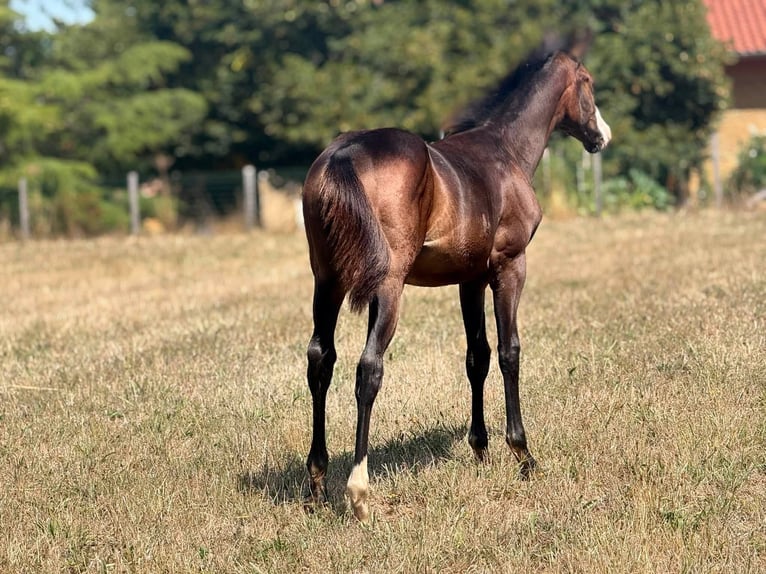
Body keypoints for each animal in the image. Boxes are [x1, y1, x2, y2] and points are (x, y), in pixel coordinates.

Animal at [301, 46, 611, 522]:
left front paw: (480, 449)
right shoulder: (509, 267)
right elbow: (508, 352)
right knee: (368, 367)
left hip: (327, 283)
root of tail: (343, 154)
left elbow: (476, 358)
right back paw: (359, 491)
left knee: (321, 359)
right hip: (387, 286)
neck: (505, 151)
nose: (602, 136)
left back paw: (317, 483)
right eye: (588, 82)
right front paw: (523, 454)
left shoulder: (470, 280)